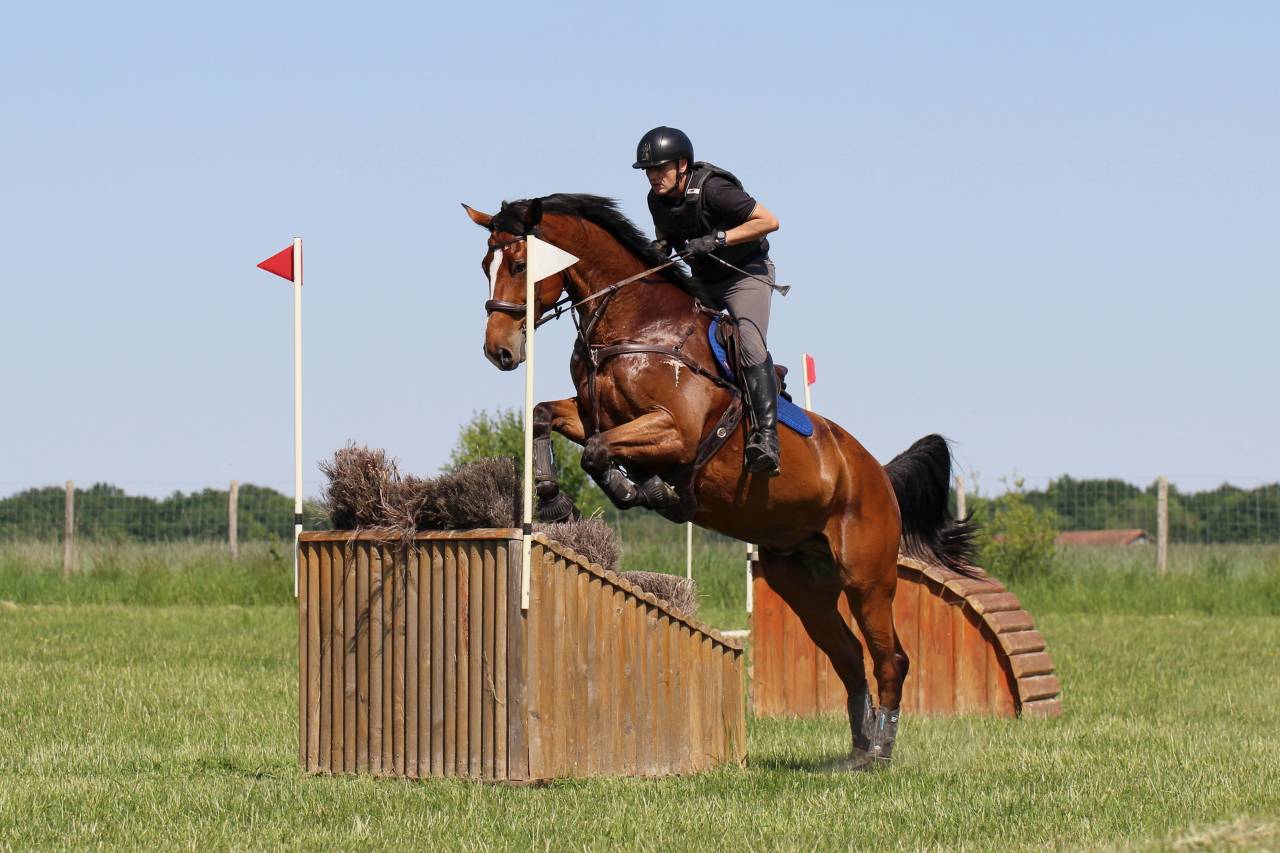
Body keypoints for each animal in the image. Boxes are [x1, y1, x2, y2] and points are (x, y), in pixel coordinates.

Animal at [463, 193, 975, 769]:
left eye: (521, 265)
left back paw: (878, 753)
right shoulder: (593, 416)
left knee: (891, 658)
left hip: (868, 578)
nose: (499, 352)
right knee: (847, 655)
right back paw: (857, 749)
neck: (637, 327)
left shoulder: (676, 432)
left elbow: (599, 454)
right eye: (484, 265)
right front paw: (555, 501)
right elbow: (544, 417)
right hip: (802, 583)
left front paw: (642, 489)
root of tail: (877, 475)